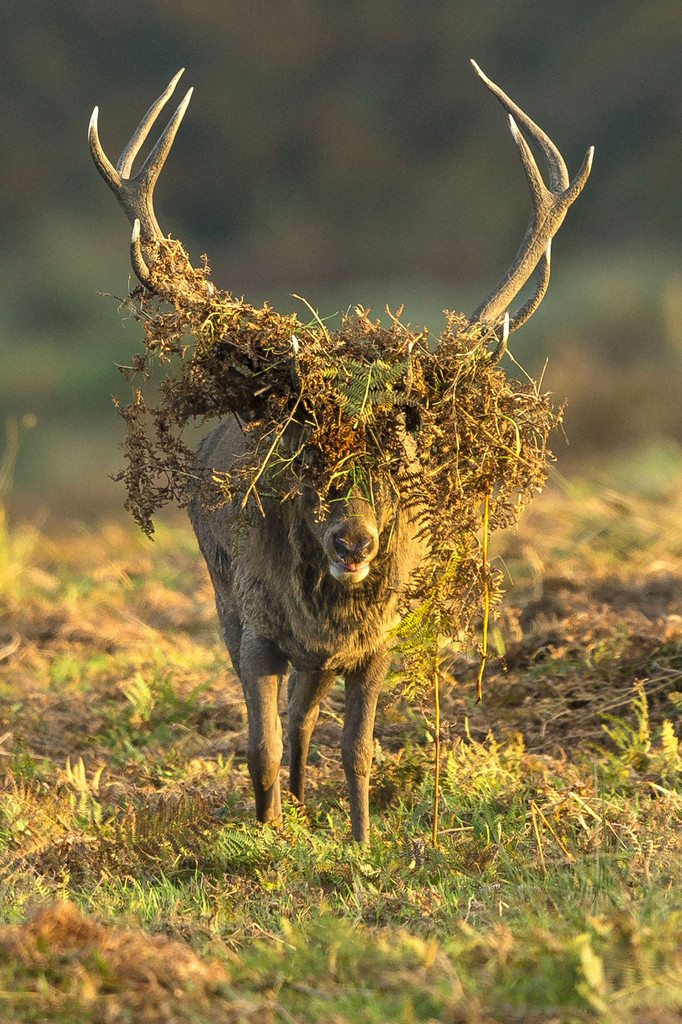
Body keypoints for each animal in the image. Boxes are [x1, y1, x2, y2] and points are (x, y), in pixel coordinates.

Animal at [89, 62, 593, 842]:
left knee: (304, 715)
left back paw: (305, 807)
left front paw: (360, 842)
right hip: (223, 595)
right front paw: (266, 843)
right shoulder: (256, 625)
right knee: (283, 719)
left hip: (324, 651)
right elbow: (258, 745)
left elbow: (357, 749)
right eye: (308, 461)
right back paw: (286, 813)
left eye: (394, 468)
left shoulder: (376, 640)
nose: (353, 542)